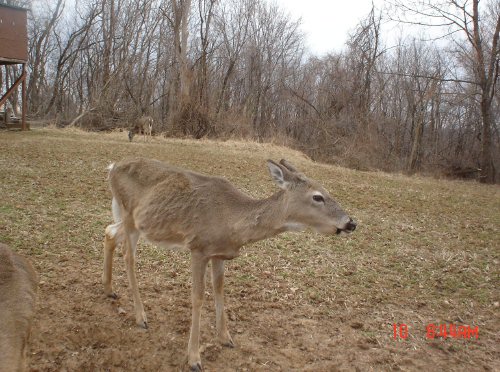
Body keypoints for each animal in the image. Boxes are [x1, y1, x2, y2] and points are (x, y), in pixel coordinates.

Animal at [103, 158, 358, 372]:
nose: (351, 223)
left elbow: (219, 289)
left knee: (109, 232)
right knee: (128, 256)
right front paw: (194, 358)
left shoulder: (219, 254)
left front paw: (225, 338)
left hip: (130, 220)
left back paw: (109, 290)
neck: (231, 221)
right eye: (317, 197)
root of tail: (113, 167)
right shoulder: (198, 247)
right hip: (130, 216)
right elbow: (198, 297)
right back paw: (140, 317)